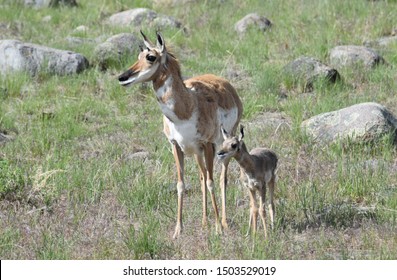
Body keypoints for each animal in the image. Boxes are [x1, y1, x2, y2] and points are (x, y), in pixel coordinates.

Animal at [116, 32, 243, 238]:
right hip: (197, 153)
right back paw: (204, 222)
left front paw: (217, 228)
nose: (122, 77)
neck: (188, 105)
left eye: (150, 57)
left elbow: (211, 182)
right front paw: (178, 230)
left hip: (224, 147)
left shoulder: (208, 145)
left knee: (221, 179)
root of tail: (226, 84)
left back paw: (223, 222)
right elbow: (181, 184)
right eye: (138, 55)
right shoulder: (176, 146)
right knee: (201, 176)